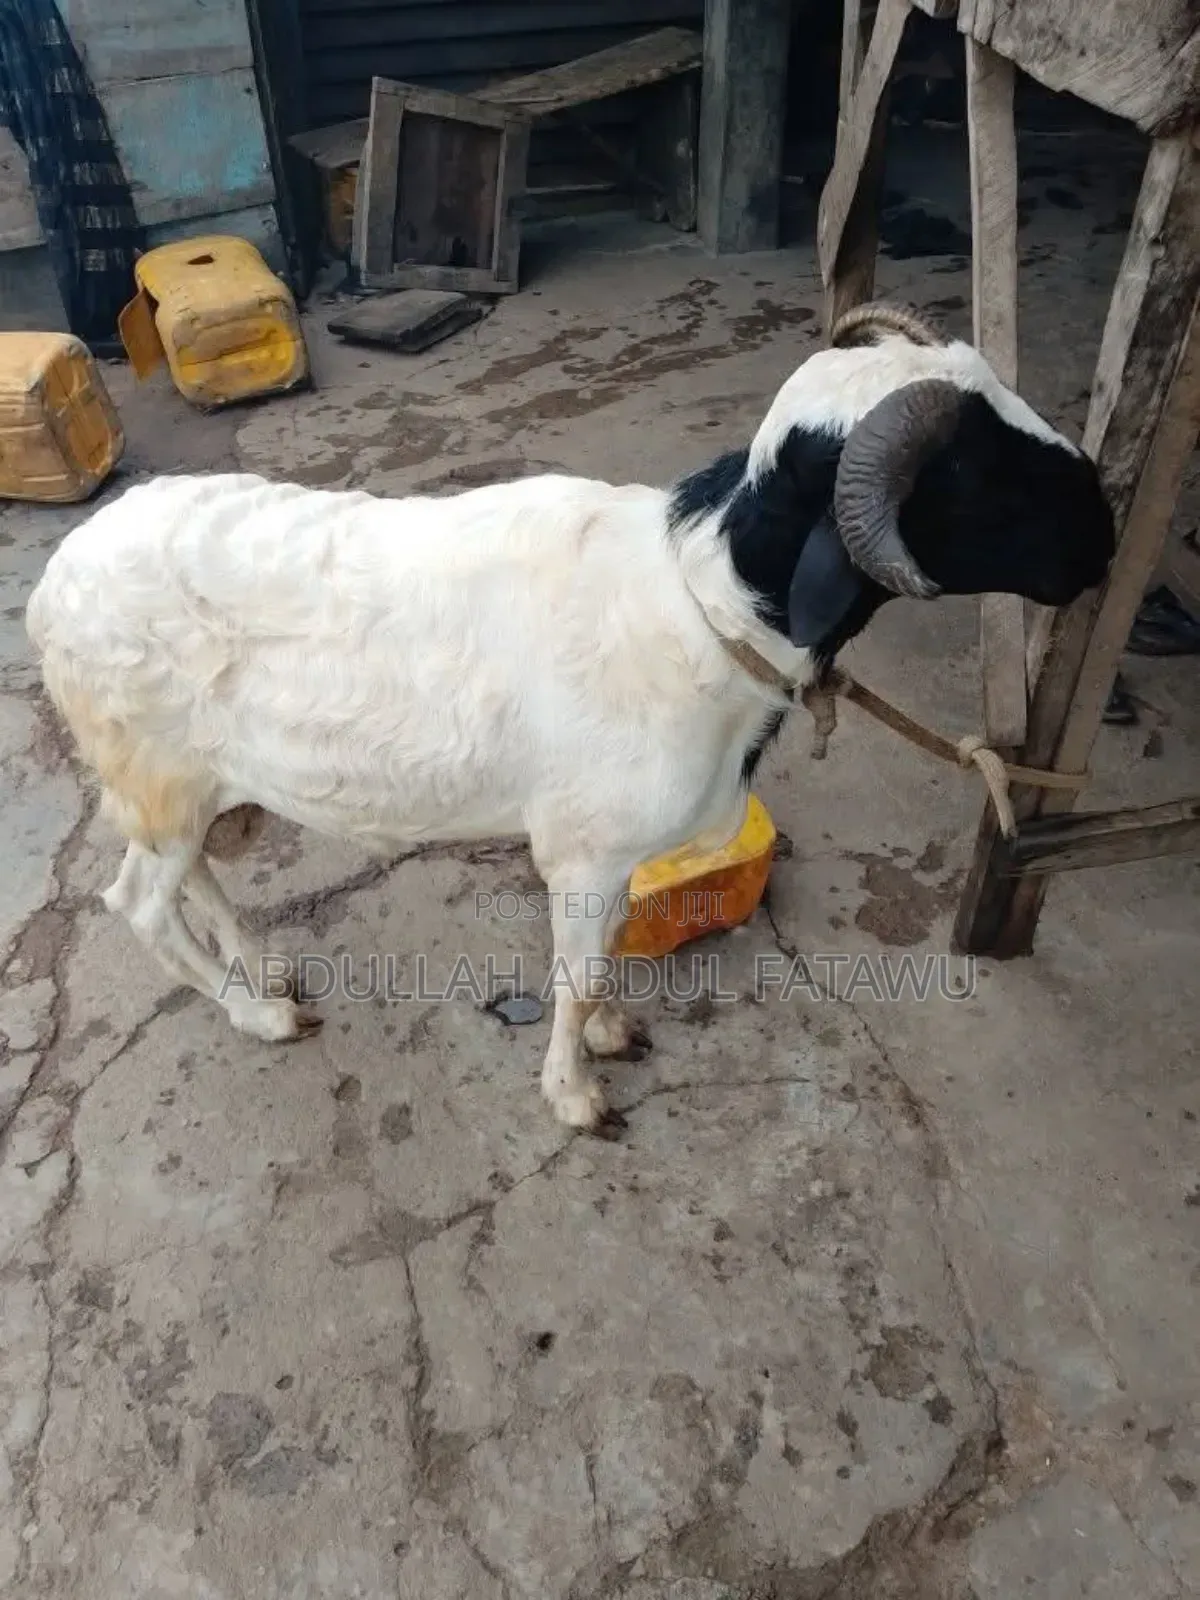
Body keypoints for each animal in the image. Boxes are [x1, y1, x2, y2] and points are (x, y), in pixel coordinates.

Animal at [25, 303, 1114, 1135]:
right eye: (972, 475)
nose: (1103, 535)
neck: (699, 602)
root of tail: (50, 587)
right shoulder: (583, 849)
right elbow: (579, 970)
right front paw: (576, 1094)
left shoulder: (618, 851)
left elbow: (600, 961)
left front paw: (601, 1039)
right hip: (153, 772)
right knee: (140, 902)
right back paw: (258, 1019)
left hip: (190, 782)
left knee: (194, 876)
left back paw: (264, 974)